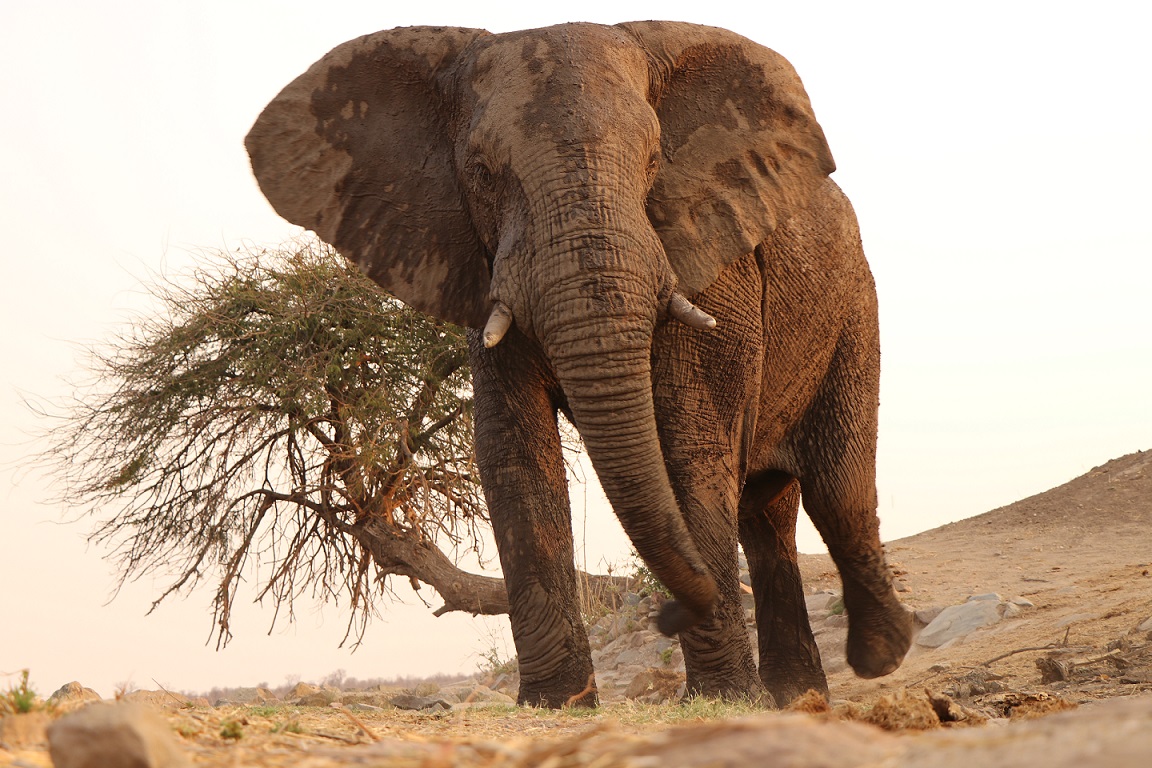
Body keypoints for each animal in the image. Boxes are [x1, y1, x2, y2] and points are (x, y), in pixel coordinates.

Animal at [247, 19, 912, 709]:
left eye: (654, 161)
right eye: (481, 174)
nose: (668, 611)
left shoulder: (713, 262)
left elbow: (690, 444)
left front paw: (727, 701)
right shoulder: (484, 271)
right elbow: (514, 453)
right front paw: (557, 702)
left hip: (854, 306)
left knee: (838, 491)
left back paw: (877, 658)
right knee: (768, 514)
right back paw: (797, 697)